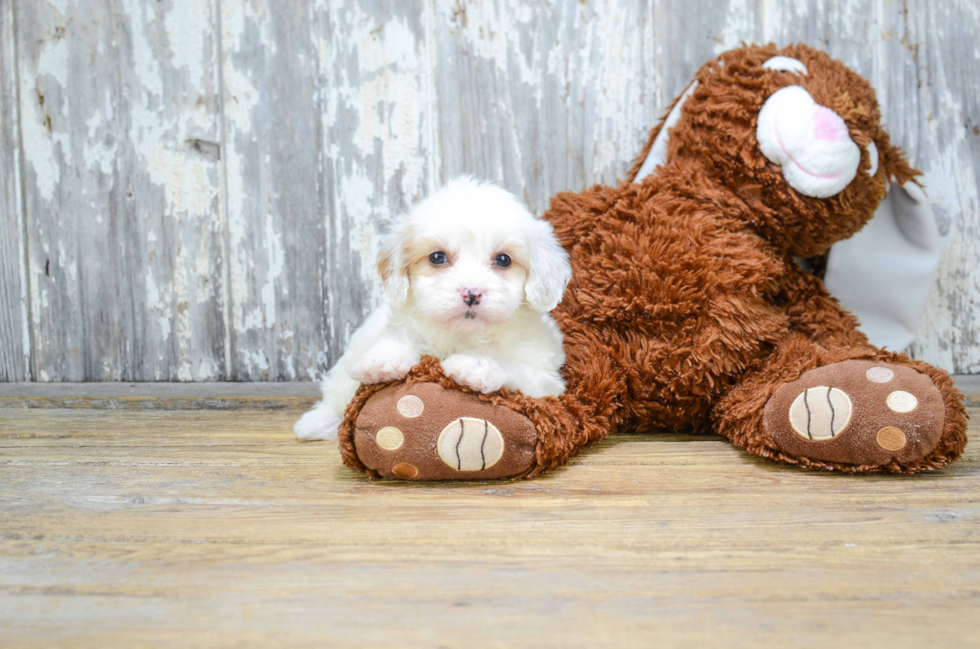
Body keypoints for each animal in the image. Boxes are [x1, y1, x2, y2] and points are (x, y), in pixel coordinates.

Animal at [292, 176, 568, 440]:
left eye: (503, 259)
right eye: (437, 257)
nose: (471, 293)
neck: (462, 335)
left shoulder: (548, 381)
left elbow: (517, 369)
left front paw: (476, 365)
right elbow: (400, 342)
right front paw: (384, 359)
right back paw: (318, 421)